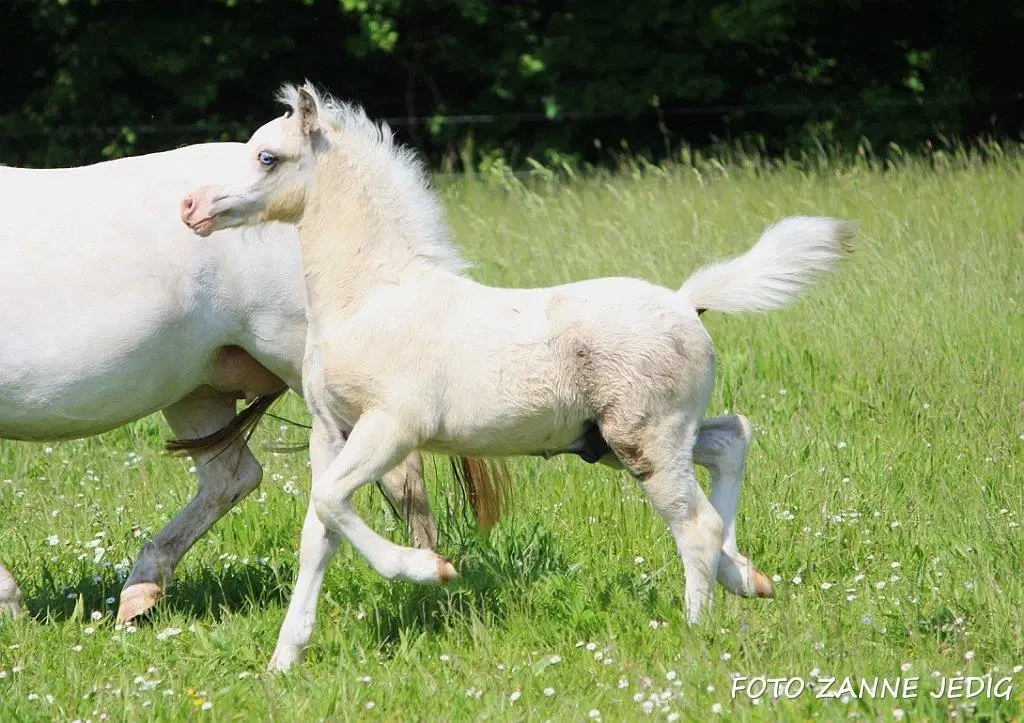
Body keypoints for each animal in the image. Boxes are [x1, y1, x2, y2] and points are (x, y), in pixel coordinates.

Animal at [180, 86, 851, 671]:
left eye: (268, 157)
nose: (191, 207)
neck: (371, 296)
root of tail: (688, 304)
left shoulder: (393, 427)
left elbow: (329, 502)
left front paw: (433, 569)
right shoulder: (330, 429)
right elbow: (318, 531)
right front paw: (283, 660)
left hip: (646, 440)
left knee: (697, 523)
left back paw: (695, 631)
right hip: (624, 439)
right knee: (731, 438)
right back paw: (746, 576)